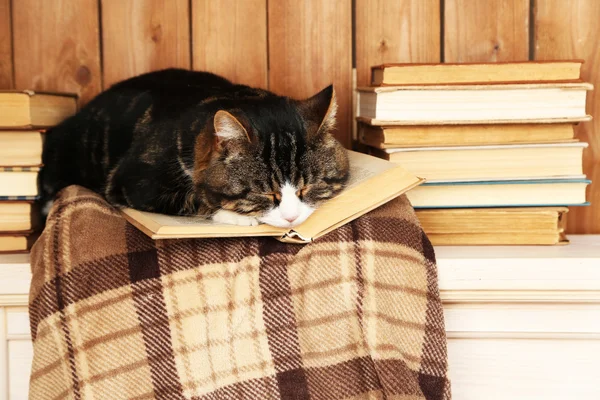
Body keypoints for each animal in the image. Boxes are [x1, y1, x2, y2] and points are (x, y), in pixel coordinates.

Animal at [39, 67, 350, 227]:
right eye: (265, 194)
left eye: (307, 188)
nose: (291, 218)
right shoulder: (133, 181)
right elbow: (196, 198)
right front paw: (236, 217)